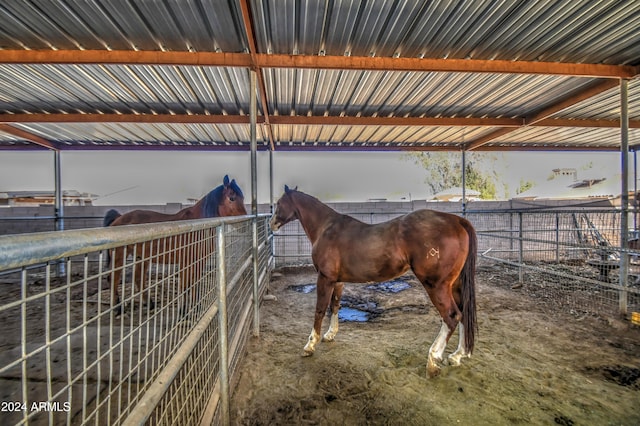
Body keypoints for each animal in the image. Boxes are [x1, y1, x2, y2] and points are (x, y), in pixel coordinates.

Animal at [104, 175, 246, 314]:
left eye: (243, 198)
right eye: (232, 198)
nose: (244, 223)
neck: (197, 226)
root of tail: (118, 218)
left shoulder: (198, 261)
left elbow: (195, 283)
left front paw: (196, 307)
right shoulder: (186, 262)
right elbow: (185, 285)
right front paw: (183, 310)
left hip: (142, 257)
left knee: (138, 278)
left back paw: (149, 304)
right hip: (119, 256)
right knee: (113, 279)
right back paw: (118, 308)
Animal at [268, 186, 476, 376]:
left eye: (279, 203)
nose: (272, 224)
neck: (326, 228)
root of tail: (457, 220)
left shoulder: (324, 278)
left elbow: (319, 310)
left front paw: (310, 345)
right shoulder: (337, 281)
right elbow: (335, 305)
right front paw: (330, 334)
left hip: (436, 285)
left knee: (451, 316)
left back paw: (433, 359)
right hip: (454, 285)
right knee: (464, 313)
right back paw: (457, 355)